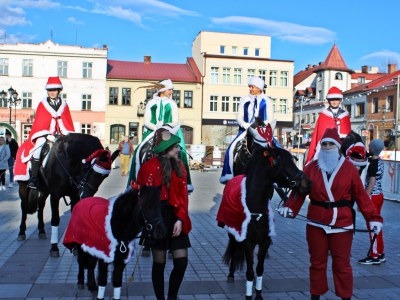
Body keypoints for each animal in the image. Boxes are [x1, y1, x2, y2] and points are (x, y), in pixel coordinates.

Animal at [216, 124, 312, 300]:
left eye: (293, 161)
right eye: (283, 163)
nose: (308, 183)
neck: (256, 209)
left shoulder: (264, 242)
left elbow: (259, 269)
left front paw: (258, 294)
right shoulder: (247, 242)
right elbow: (249, 271)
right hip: (232, 231)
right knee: (233, 247)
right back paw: (231, 273)